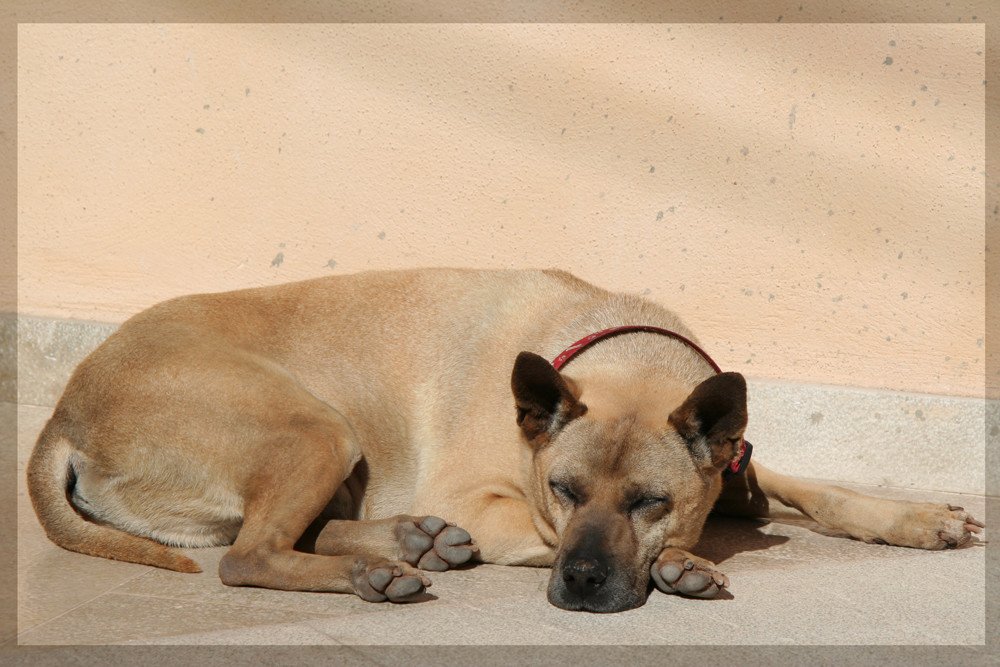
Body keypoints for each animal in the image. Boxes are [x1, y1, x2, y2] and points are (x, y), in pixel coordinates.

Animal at [25, 268, 984, 612]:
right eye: (563, 489)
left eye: (652, 500)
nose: (584, 587)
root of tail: (65, 409)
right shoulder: (493, 500)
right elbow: (536, 534)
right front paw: (681, 563)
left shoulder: (734, 462)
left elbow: (815, 488)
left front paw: (916, 518)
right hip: (316, 424)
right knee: (248, 554)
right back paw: (381, 567)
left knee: (288, 531)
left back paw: (406, 542)